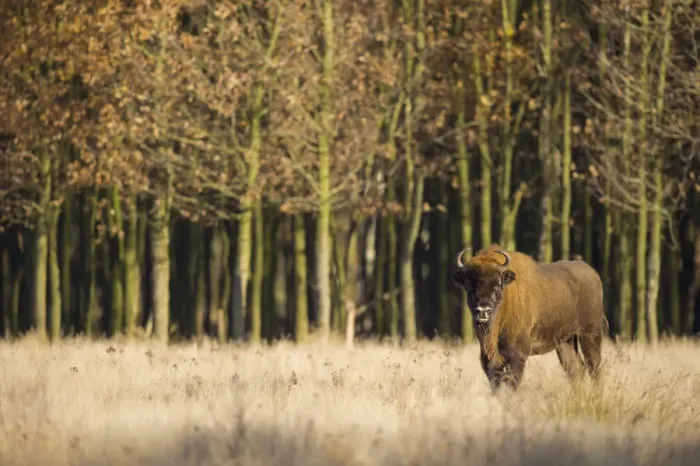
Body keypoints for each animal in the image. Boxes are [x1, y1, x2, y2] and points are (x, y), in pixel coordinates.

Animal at [452, 244, 608, 392]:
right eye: (469, 287)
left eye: (497, 285)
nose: (483, 311)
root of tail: (593, 274)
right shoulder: (489, 359)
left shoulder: (517, 355)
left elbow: (511, 384)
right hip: (565, 341)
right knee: (576, 369)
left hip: (590, 334)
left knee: (594, 367)